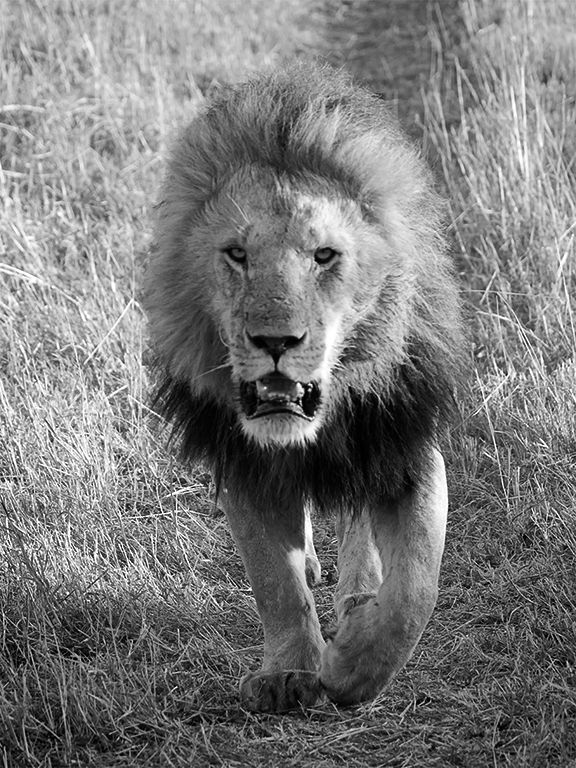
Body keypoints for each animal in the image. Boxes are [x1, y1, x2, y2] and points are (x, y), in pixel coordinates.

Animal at [144, 62, 464, 711]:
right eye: (237, 254)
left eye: (324, 256)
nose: (275, 340)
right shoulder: (243, 462)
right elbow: (275, 580)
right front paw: (289, 672)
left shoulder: (403, 445)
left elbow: (415, 591)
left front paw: (352, 662)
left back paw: (357, 593)